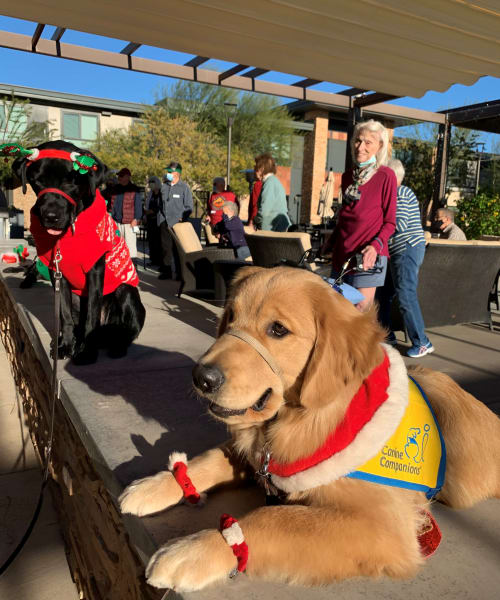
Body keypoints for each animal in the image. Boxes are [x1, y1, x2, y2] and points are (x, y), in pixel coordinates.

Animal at [12, 142, 146, 366]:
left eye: (71, 181)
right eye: (38, 181)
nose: (51, 216)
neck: (68, 234)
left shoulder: (94, 271)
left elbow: (91, 314)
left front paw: (86, 352)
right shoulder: (58, 273)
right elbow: (64, 314)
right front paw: (66, 345)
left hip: (126, 291)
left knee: (126, 331)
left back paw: (116, 346)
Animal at [121, 266, 500, 592]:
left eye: (278, 330)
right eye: (229, 316)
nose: (201, 378)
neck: (298, 418)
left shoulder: (383, 525)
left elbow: (270, 520)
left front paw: (192, 550)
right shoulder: (257, 453)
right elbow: (207, 460)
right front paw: (153, 486)